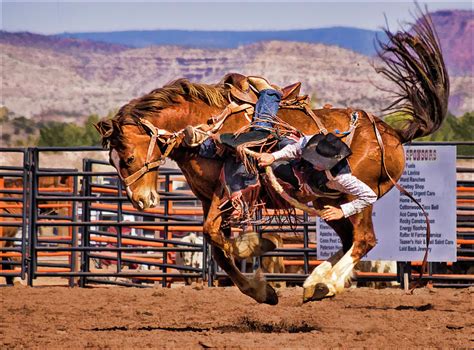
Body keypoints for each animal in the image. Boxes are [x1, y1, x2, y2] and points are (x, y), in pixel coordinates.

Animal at [95, 12, 448, 304]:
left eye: (127, 158)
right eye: (113, 162)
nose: (141, 200)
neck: (206, 125)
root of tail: (393, 135)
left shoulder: (232, 188)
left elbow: (216, 237)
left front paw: (257, 262)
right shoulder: (211, 197)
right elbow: (217, 247)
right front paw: (260, 286)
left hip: (357, 194)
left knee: (364, 239)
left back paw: (326, 284)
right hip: (329, 202)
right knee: (350, 238)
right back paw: (316, 282)